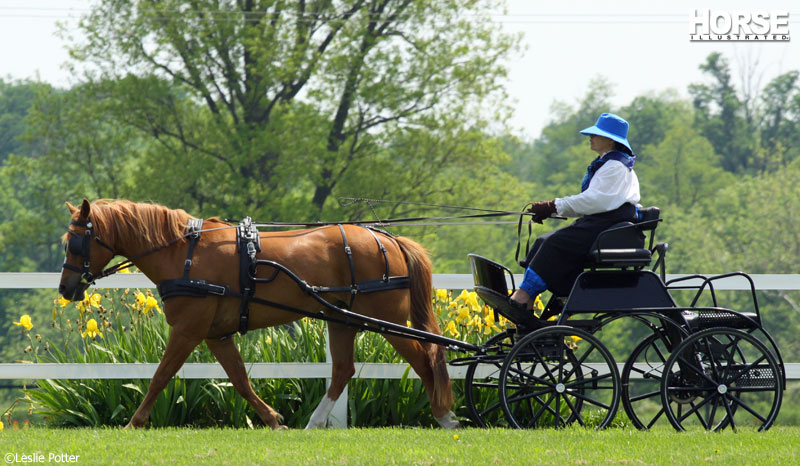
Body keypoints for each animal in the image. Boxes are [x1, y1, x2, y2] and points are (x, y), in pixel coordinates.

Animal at [59, 198, 460, 428]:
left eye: (74, 242)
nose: (66, 289)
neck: (183, 253)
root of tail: (388, 238)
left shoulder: (188, 330)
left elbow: (160, 376)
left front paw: (134, 423)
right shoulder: (215, 334)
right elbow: (239, 379)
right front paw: (273, 419)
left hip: (387, 323)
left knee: (424, 361)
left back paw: (446, 417)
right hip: (343, 321)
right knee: (343, 371)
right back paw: (314, 422)